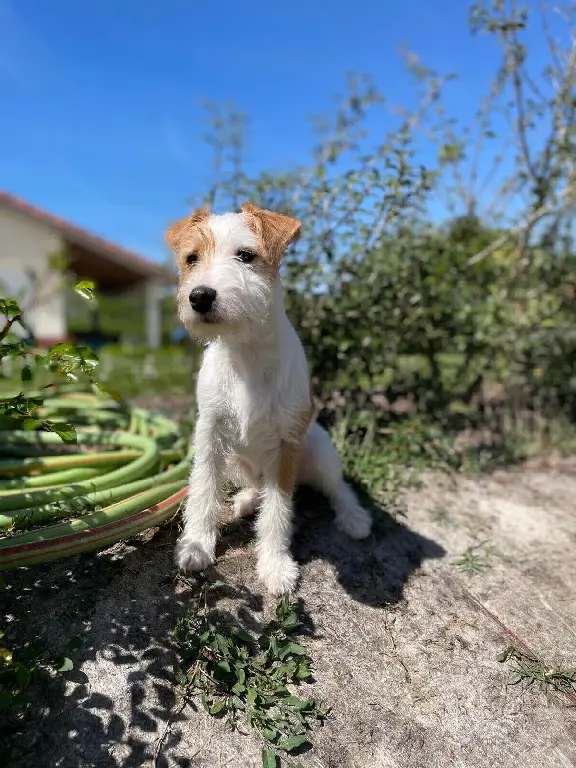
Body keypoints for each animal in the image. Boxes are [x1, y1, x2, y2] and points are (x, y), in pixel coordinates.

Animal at [165, 202, 374, 592]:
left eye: (245, 255)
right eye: (191, 258)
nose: (199, 296)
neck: (247, 354)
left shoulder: (287, 445)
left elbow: (278, 508)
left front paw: (275, 565)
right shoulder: (210, 433)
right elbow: (203, 487)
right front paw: (196, 545)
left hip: (320, 449)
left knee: (338, 487)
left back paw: (353, 516)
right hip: (236, 460)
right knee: (257, 485)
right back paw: (248, 500)